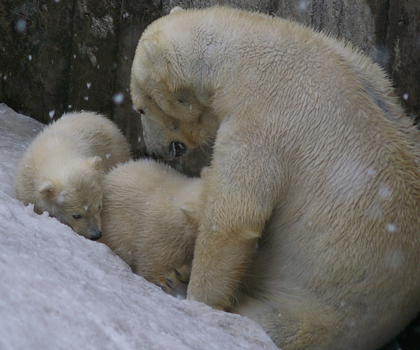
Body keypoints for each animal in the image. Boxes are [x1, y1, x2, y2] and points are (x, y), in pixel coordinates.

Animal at [130, 6, 420, 350]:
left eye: (140, 108)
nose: (156, 150)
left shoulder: (265, 119)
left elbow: (234, 219)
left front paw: (195, 298)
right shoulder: (369, 70)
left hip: (324, 313)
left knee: (274, 324)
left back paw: (179, 282)